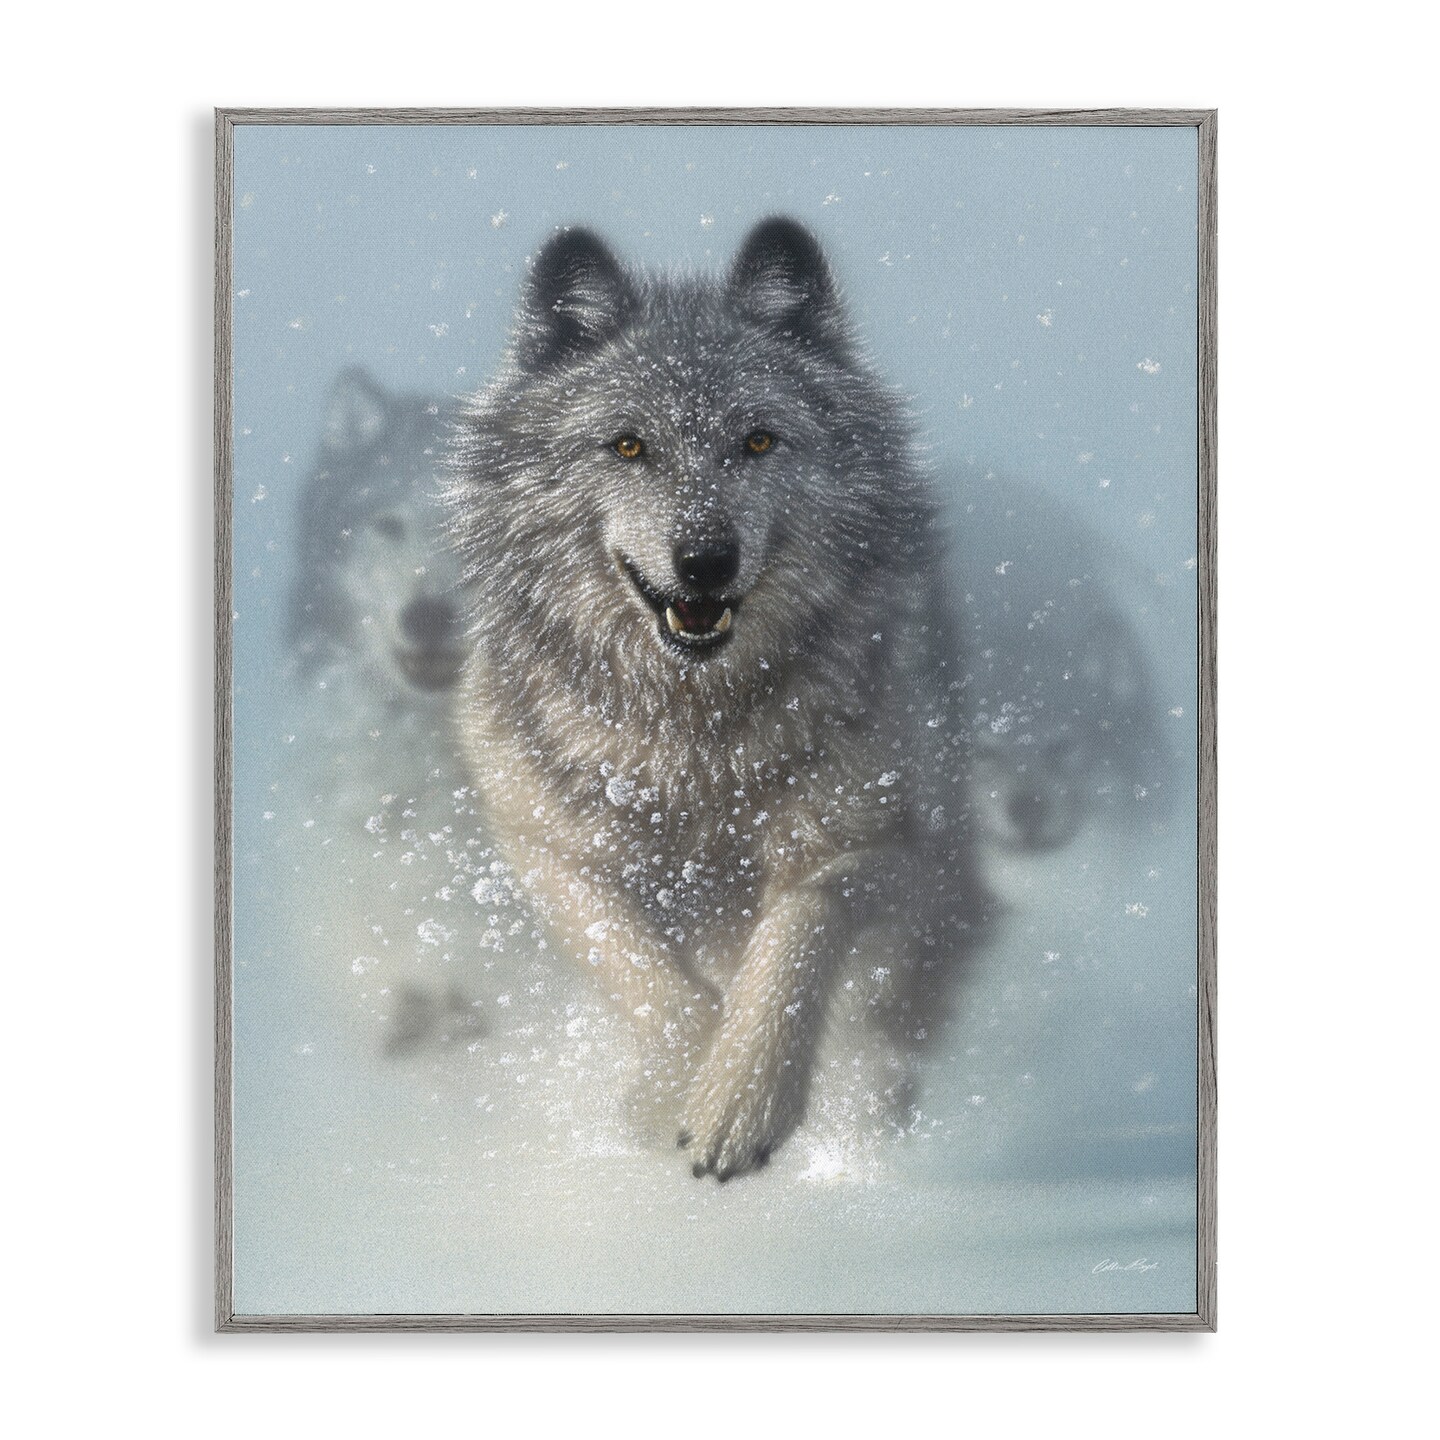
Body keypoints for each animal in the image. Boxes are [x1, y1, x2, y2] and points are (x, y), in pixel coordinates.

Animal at [446, 219, 983, 1180]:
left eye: (759, 442)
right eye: (628, 446)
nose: (704, 561)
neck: (693, 741)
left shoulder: (889, 845)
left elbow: (799, 929)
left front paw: (741, 1099)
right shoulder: (543, 849)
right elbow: (644, 972)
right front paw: (673, 1090)